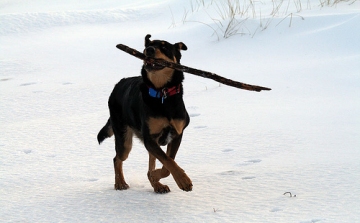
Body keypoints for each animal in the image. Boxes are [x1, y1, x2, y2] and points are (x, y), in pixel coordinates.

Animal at [95, 34, 191, 193]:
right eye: (148, 45)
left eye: (164, 46)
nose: (149, 50)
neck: (162, 92)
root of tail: (118, 85)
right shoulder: (149, 138)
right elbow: (168, 162)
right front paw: (183, 180)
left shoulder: (176, 134)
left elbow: (167, 164)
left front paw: (155, 176)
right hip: (124, 139)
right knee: (117, 158)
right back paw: (120, 183)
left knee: (150, 161)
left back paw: (157, 185)